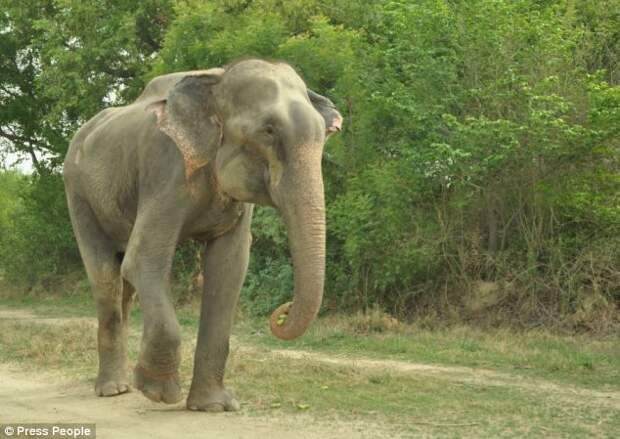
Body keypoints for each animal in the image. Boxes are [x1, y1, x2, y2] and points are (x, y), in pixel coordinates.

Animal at [62, 58, 342, 412]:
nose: (282, 311)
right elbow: (143, 260)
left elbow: (229, 268)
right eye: (268, 130)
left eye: (323, 135)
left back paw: (121, 387)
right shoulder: (166, 167)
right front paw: (158, 393)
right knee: (105, 274)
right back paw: (113, 389)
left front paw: (215, 406)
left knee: (122, 283)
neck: (216, 80)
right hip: (78, 192)